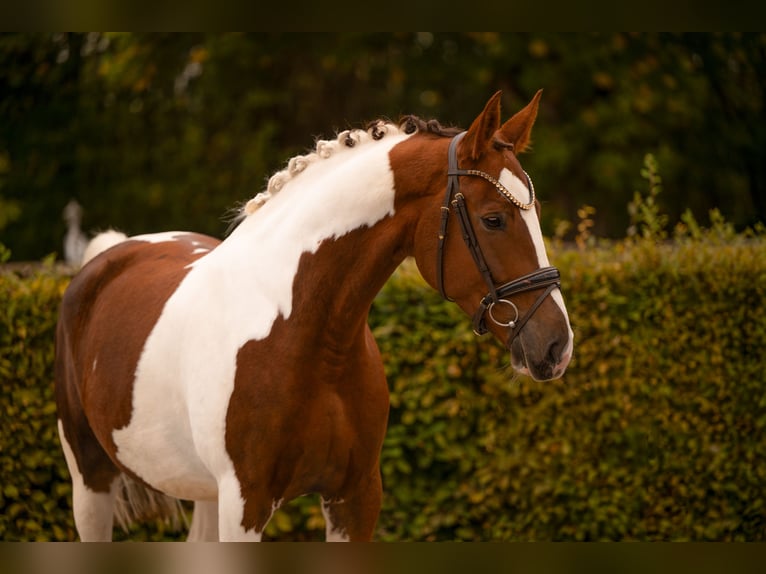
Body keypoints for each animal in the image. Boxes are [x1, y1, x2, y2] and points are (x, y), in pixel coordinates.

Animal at [54, 90, 574, 542]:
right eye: (493, 219)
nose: (557, 345)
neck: (309, 337)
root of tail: (109, 254)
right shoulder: (245, 504)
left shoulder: (355, 498)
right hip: (90, 479)